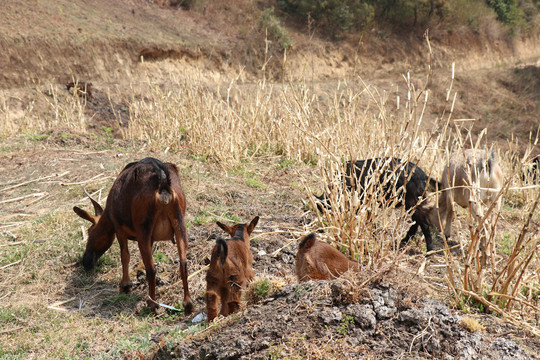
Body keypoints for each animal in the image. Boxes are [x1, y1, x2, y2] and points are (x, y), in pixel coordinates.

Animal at [73, 158, 193, 312]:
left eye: (90, 231)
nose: (86, 262)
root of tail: (163, 182)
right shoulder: (151, 237)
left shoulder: (119, 229)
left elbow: (125, 256)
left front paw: (125, 286)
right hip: (180, 225)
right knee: (183, 263)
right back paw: (188, 304)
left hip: (143, 229)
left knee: (151, 269)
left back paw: (152, 303)